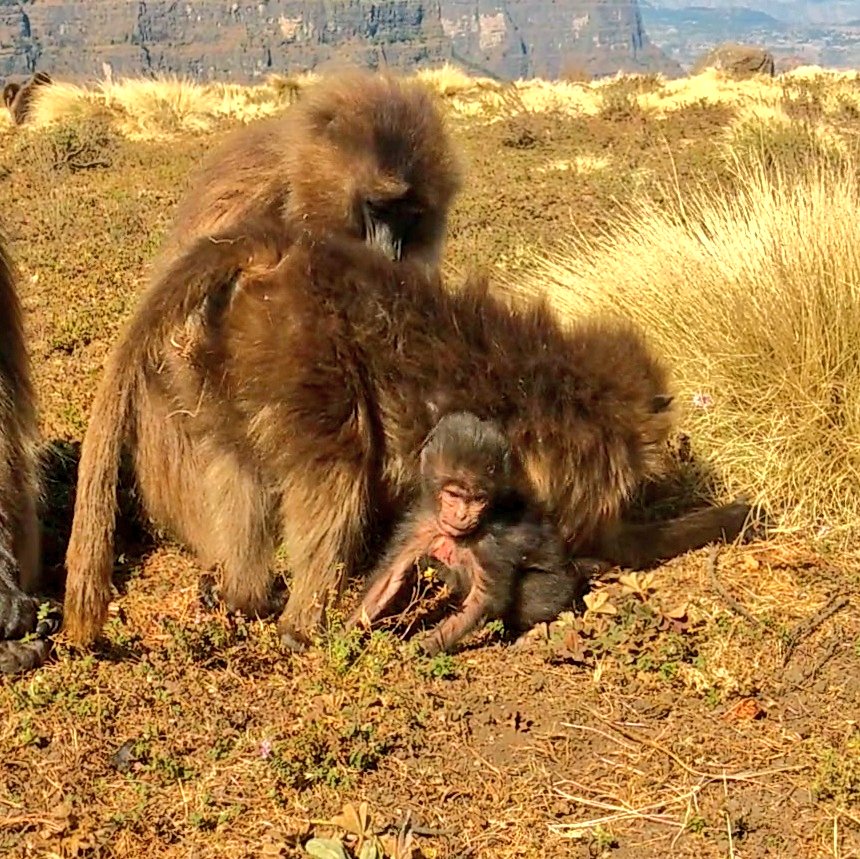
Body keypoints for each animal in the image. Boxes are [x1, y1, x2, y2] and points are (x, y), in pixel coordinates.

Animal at [347, 411, 600, 655]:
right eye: (454, 495)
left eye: (478, 499)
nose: (462, 516)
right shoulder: (422, 523)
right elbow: (390, 578)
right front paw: (344, 635)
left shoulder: (491, 544)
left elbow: (482, 597)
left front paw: (423, 647)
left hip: (559, 586)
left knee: (530, 594)